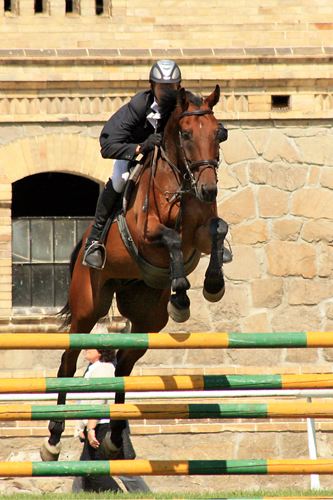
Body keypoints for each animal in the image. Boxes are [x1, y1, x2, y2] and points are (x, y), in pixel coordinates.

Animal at [40, 85, 230, 460]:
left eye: (218, 133)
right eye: (186, 134)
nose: (209, 190)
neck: (180, 183)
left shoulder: (202, 231)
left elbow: (219, 229)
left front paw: (213, 285)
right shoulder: (146, 235)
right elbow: (172, 238)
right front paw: (181, 291)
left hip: (146, 317)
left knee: (124, 365)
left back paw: (114, 435)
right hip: (88, 307)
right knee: (69, 361)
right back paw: (53, 438)